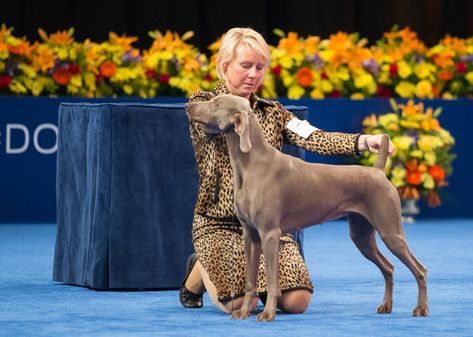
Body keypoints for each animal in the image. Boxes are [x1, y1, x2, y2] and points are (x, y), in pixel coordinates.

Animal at [184, 94, 428, 320]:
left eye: (216, 104)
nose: (187, 105)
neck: (251, 163)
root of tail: (378, 171)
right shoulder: (250, 235)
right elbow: (251, 282)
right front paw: (243, 313)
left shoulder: (269, 234)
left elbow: (271, 281)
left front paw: (268, 314)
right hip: (361, 235)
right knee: (389, 267)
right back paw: (386, 306)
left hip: (390, 230)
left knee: (420, 269)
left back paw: (421, 309)